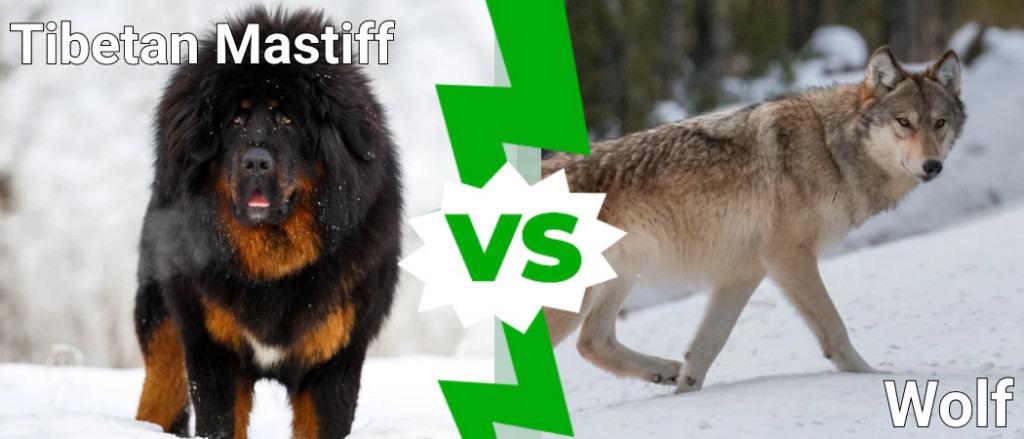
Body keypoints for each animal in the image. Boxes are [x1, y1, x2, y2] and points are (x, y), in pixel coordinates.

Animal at [543, 47, 965, 393]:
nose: (933, 166)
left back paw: (664, 370)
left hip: (619, 280)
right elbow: (835, 327)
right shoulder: (789, 258)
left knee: (592, 343)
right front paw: (868, 378)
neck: (831, 150)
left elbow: (706, 349)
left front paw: (686, 391)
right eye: (904, 122)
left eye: (940, 123)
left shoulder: (743, 270)